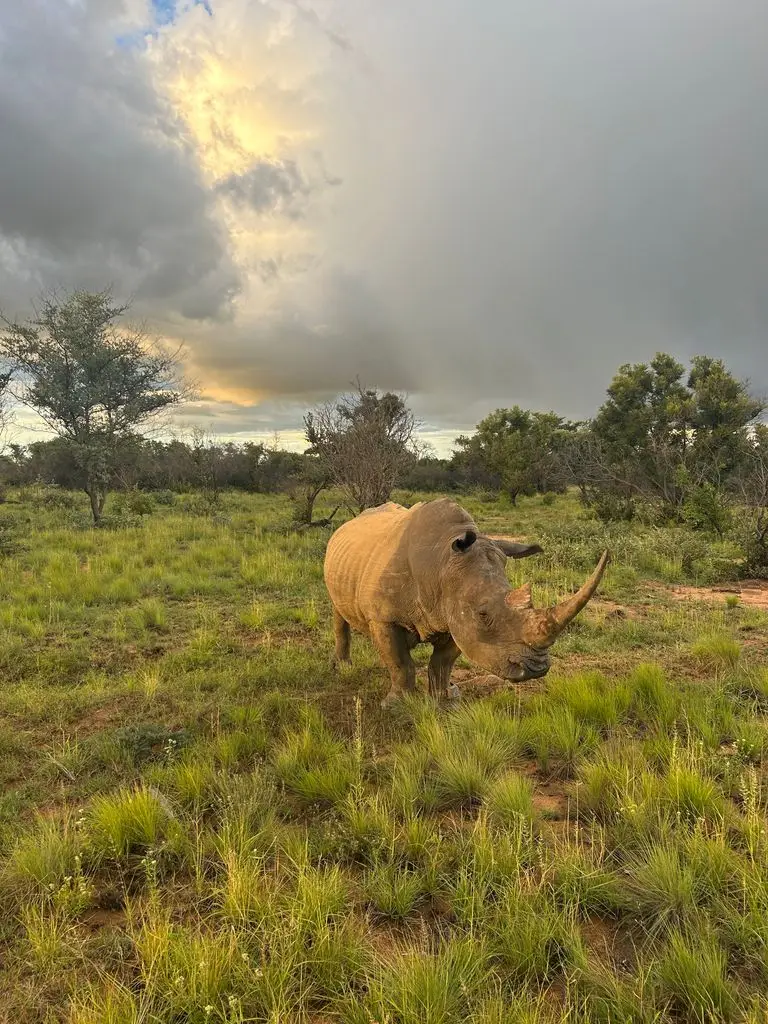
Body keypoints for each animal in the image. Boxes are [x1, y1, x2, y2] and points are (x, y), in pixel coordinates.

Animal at [323, 497, 609, 705]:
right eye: (483, 614)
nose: (536, 669)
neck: (441, 566)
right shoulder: (384, 618)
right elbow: (400, 664)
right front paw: (396, 705)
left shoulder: (457, 618)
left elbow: (443, 663)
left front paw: (445, 699)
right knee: (339, 613)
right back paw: (343, 667)